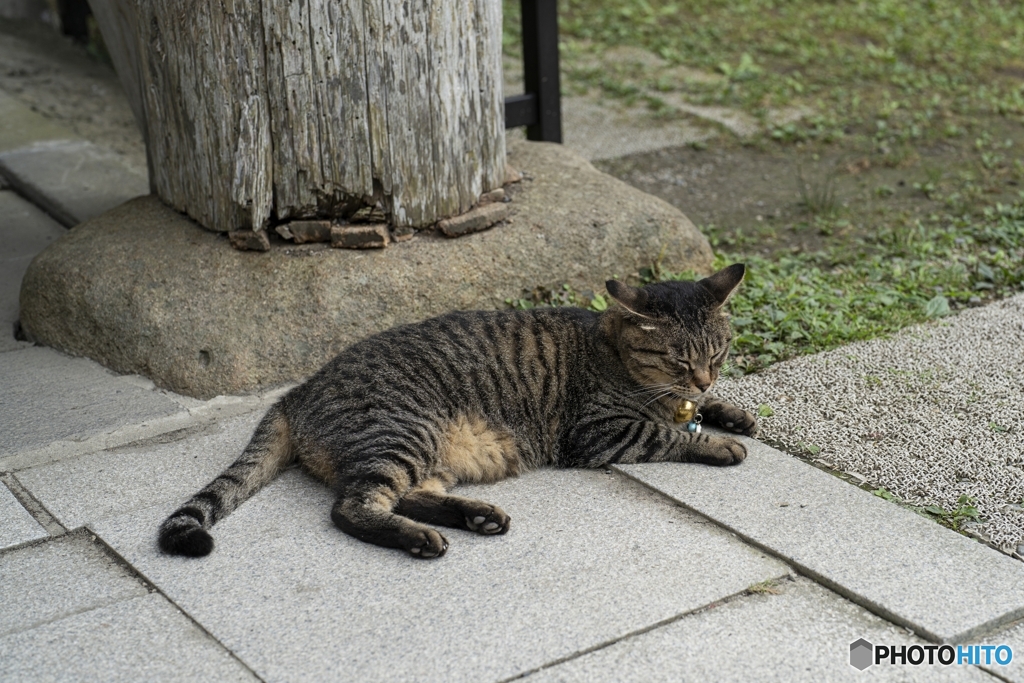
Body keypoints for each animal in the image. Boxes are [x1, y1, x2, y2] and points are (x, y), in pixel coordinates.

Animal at [157, 264, 753, 557]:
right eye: (679, 359)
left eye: (719, 353)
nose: (705, 376)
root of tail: (299, 390)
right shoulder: (600, 434)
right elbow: (669, 435)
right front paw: (718, 441)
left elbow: (703, 410)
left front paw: (731, 413)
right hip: (403, 431)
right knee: (353, 506)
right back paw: (421, 539)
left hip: (431, 455)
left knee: (407, 495)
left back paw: (476, 516)